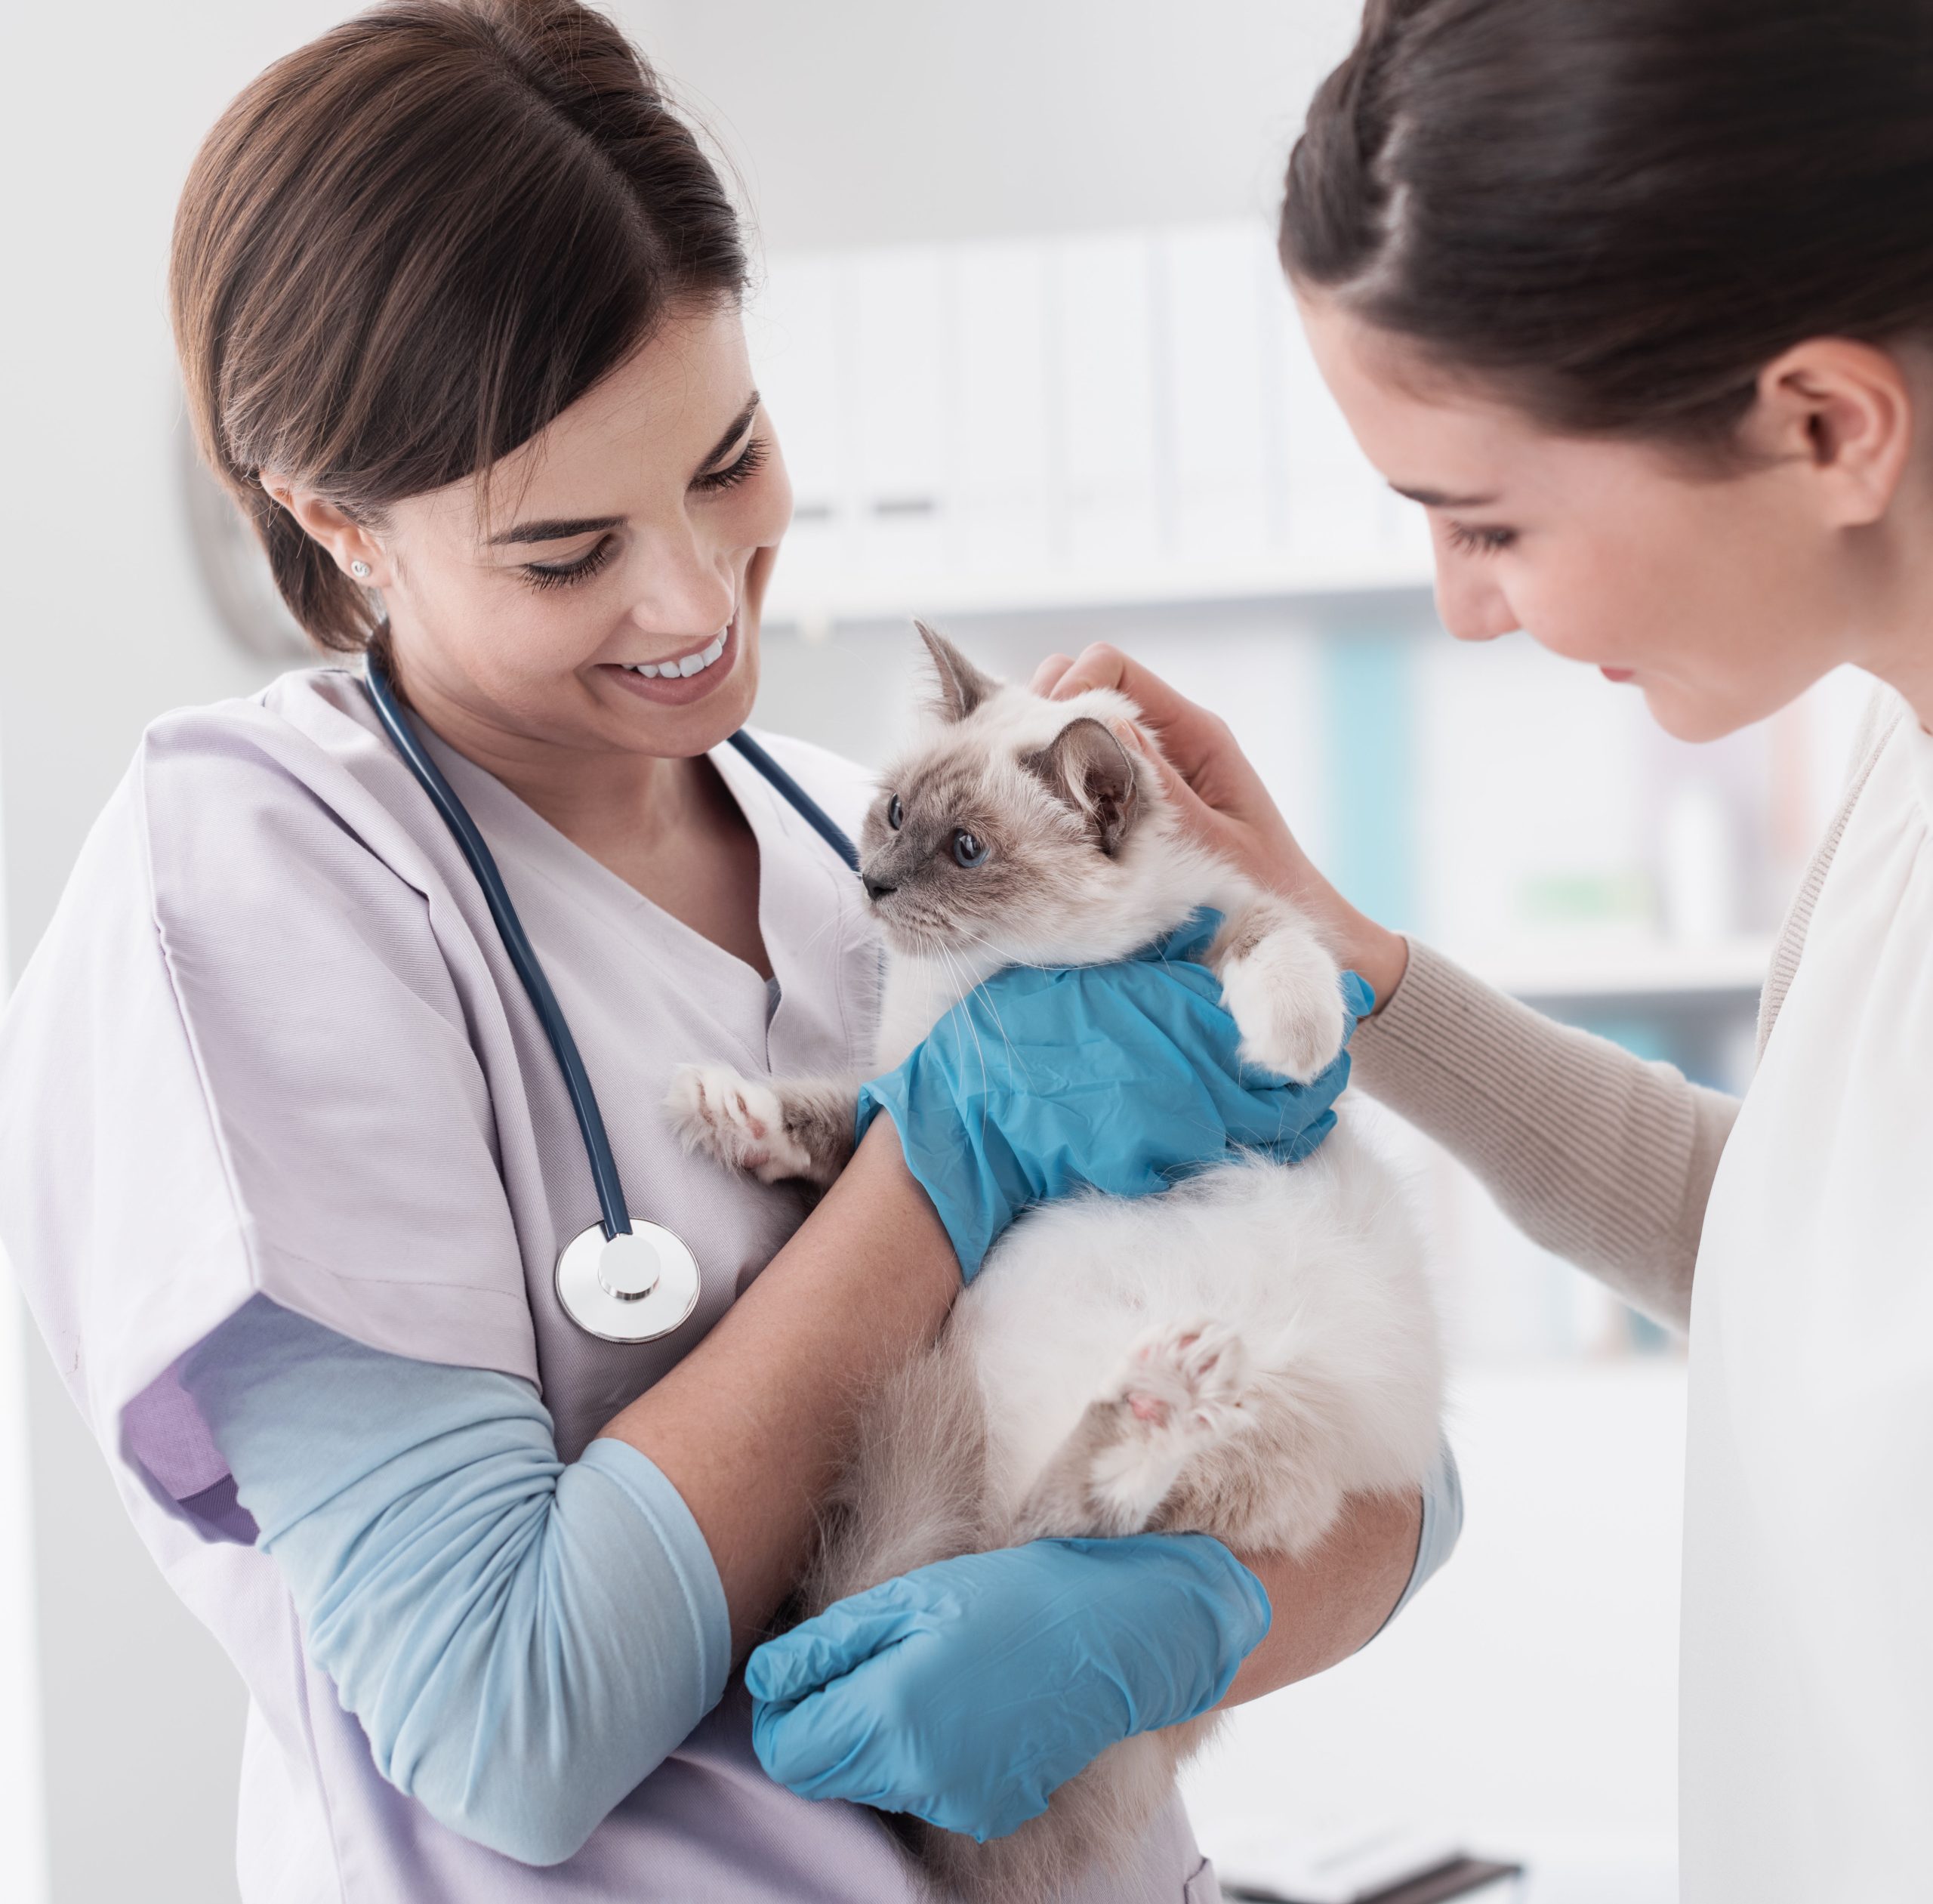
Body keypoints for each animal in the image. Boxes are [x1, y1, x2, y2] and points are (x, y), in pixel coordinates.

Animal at [672, 622, 1445, 1902]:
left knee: (1104, 1526)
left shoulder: (1219, 925)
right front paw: (729, 1113)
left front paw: (1284, 1047)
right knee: (1060, 1526)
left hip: (1274, 1444)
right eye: (893, 813)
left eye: (966, 849)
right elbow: (827, 1121)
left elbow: (1275, 952)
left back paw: (1156, 1412)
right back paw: (1143, 1413)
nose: (875, 885)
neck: (996, 989)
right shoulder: (906, 1121)